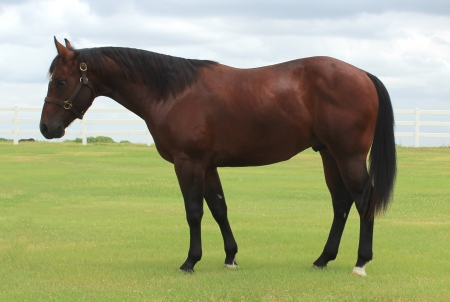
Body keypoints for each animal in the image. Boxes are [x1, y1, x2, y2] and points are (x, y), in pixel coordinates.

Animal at [40, 37, 396, 276]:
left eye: (60, 81)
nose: (46, 128)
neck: (174, 92)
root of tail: (363, 74)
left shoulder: (189, 163)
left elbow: (194, 212)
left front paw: (190, 262)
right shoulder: (208, 165)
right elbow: (219, 208)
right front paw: (230, 257)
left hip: (348, 156)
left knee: (363, 199)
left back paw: (361, 262)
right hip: (329, 155)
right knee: (341, 203)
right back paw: (323, 259)